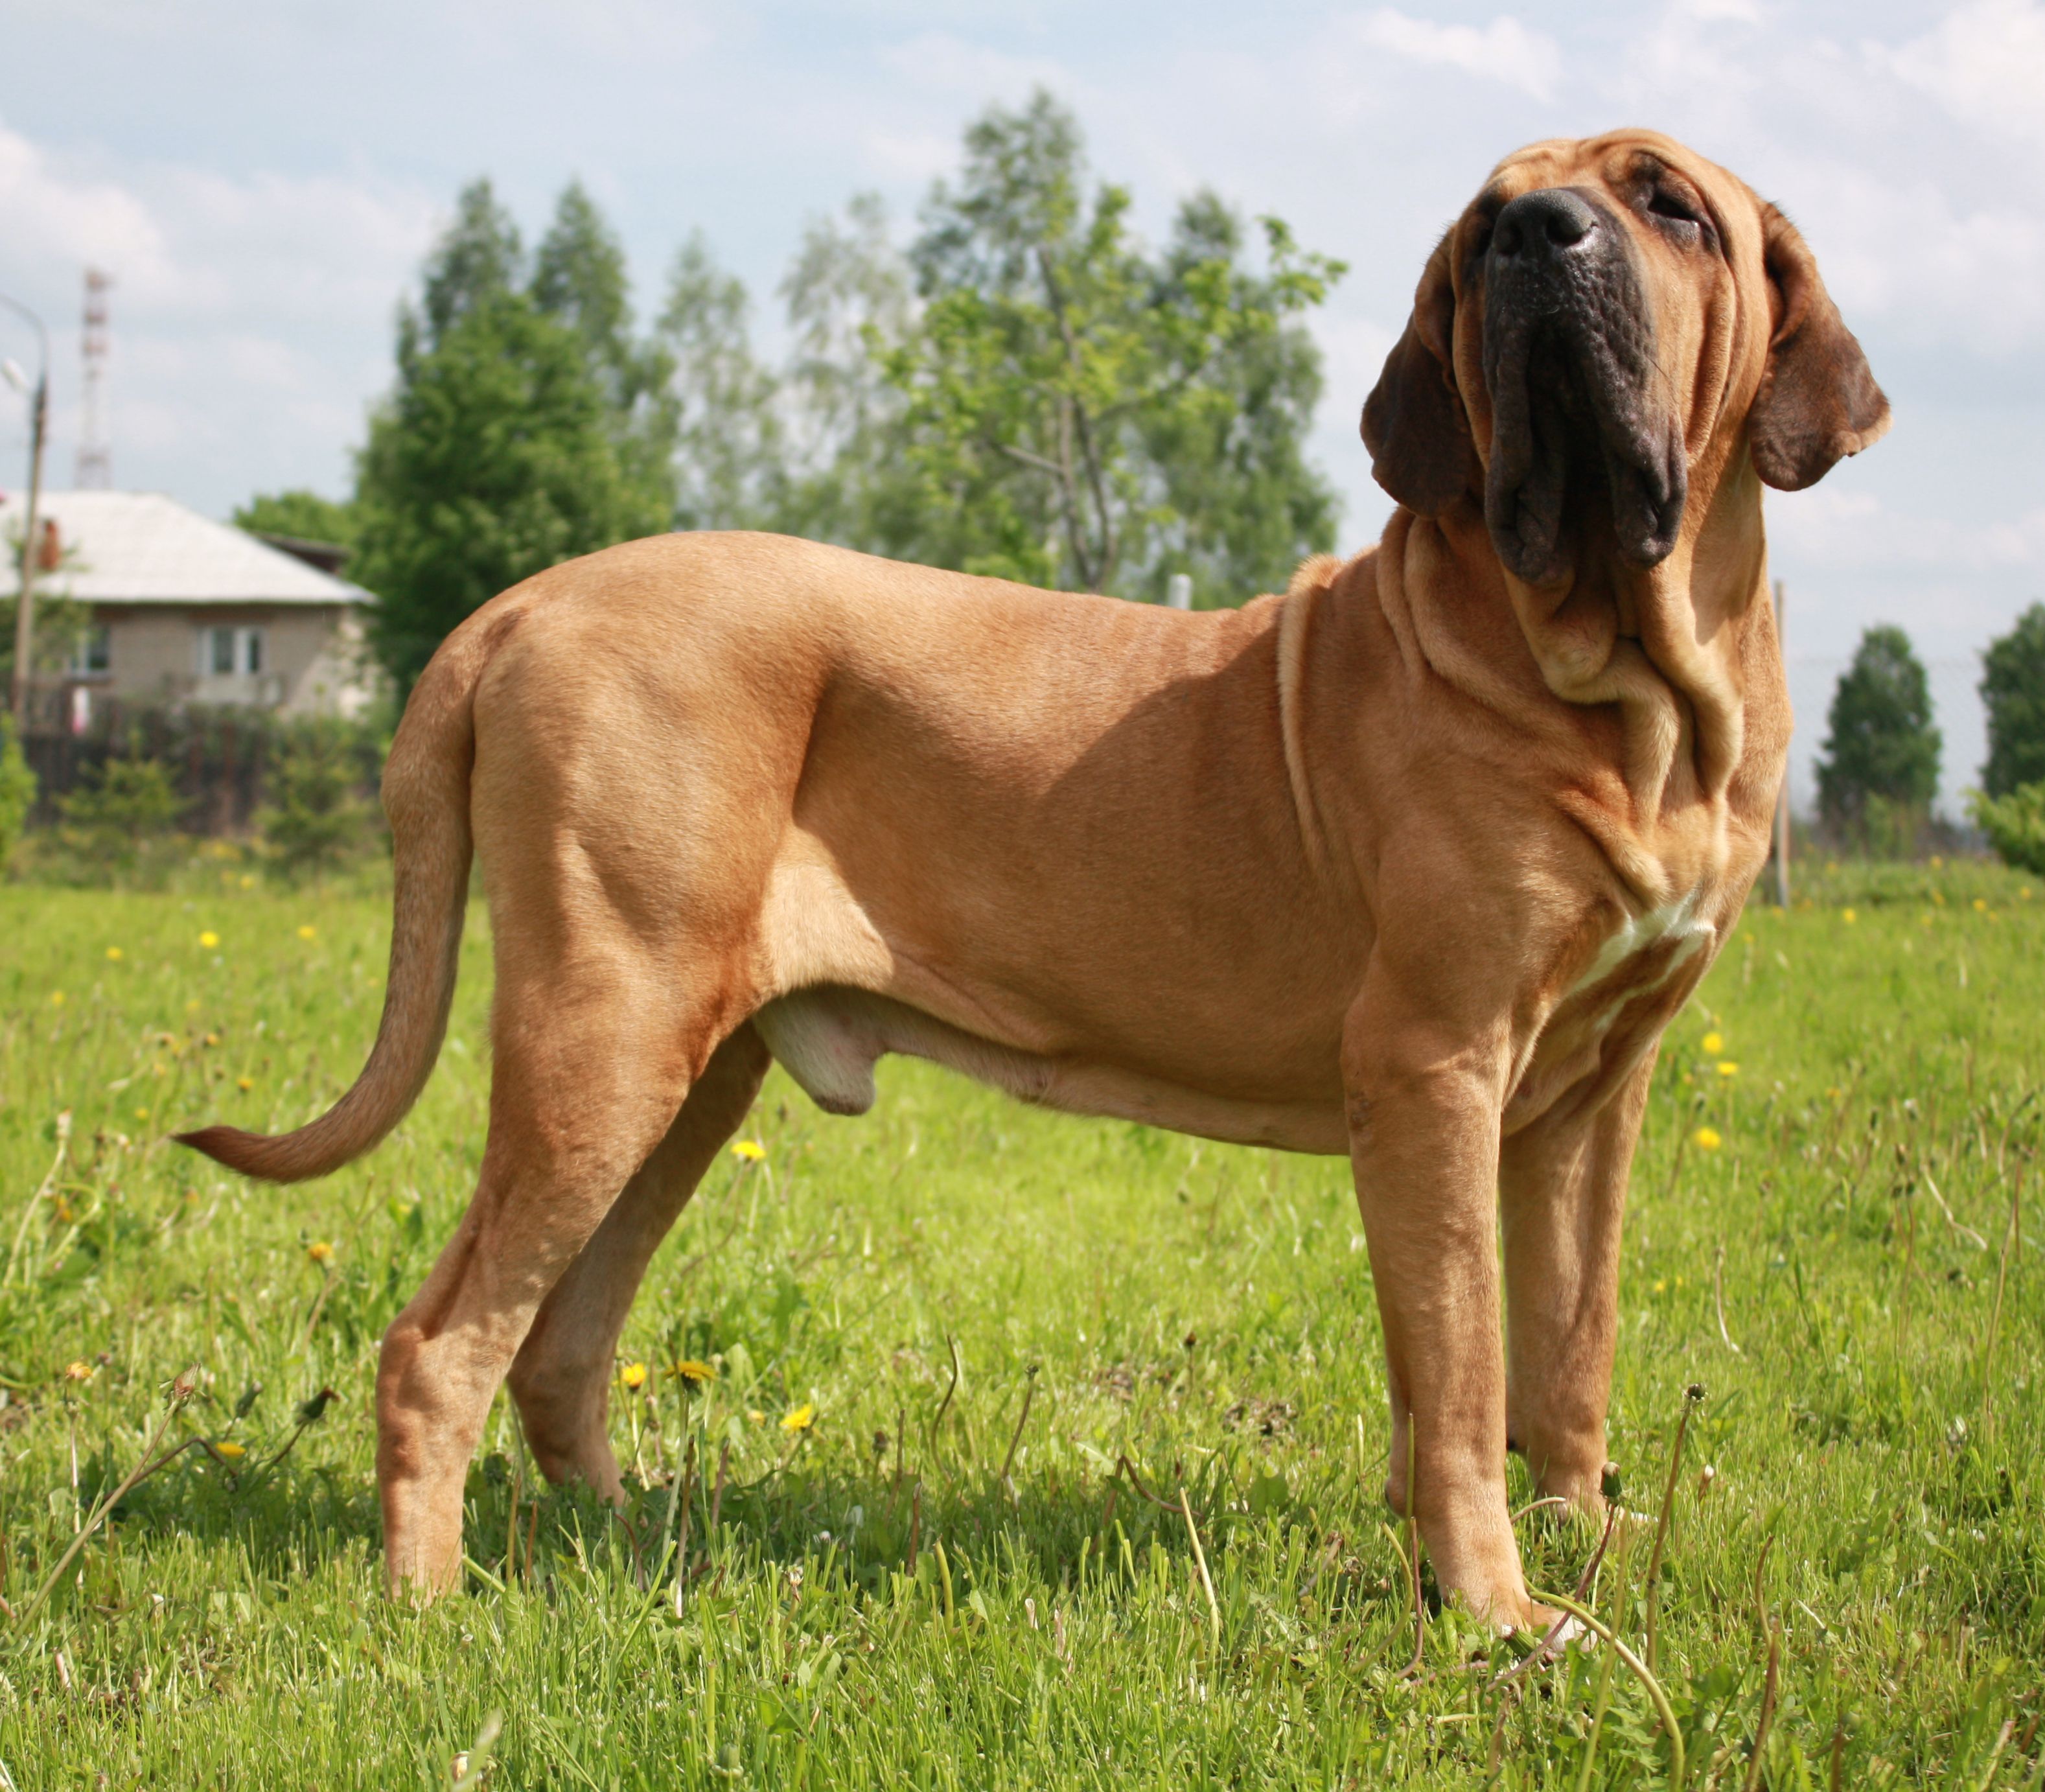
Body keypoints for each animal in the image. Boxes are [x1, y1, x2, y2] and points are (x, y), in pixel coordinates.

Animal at [188, 133, 1881, 1620]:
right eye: (1483, 230)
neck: (1616, 687)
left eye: (1667, 204)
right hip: (601, 1041)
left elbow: (1565, 1345)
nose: (1539, 236)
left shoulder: (1589, 1094)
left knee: (556, 1340)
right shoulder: (1434, 1068)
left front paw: (1580, 1532)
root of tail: (519, 605)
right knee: (437, 1346)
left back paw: (621, 1545)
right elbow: (1463, 1373)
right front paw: (1497, 1611)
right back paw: (427, 1610)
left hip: (682, 1077)